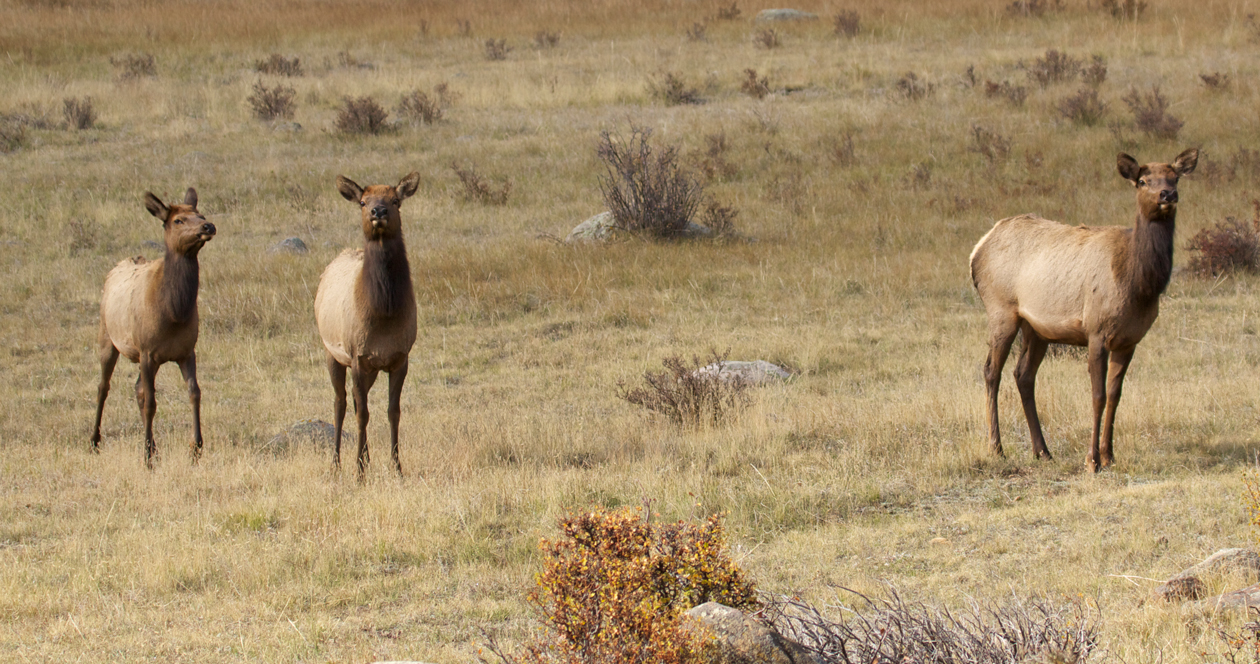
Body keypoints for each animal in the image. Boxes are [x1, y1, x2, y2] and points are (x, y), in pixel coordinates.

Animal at [91, 186, 216, 468]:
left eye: (200, 214)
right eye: (178, 220)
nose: (208, 226)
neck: (174, 313)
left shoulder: (186, 351)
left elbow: (194, 393)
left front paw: (196, 449)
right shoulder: (147, 351)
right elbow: (151, 402)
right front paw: (146, 458)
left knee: (137, 389)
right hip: (107, 337)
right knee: (103, 387)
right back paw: (94, 441)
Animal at [313, 173, 418, 481]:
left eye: (395, 200)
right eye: (363, 201)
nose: (378, 211)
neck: (383, 314)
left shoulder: (400, 358)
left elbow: (393, 412)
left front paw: (396, 468)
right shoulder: (358, 356)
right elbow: (361, 414)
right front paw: (358, 472)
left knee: (359, 401)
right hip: (331, 353)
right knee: (341, 403)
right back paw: (336, 463)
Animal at [972, 150, 1199, 473]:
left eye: (1175, 177)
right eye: (1143, 181)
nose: (1167, 194)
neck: (1137, 285)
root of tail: (977, 250)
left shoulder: (1129, 340)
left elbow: (1116, 396)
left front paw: (1110, 454)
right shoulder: (1096, 331)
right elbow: (1098, 396)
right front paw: (1092, 460)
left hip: (1037, 328)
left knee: (1023, 374)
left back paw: (1042, 451)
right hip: (1001, 309)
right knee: (992, 370)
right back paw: (997, 448)